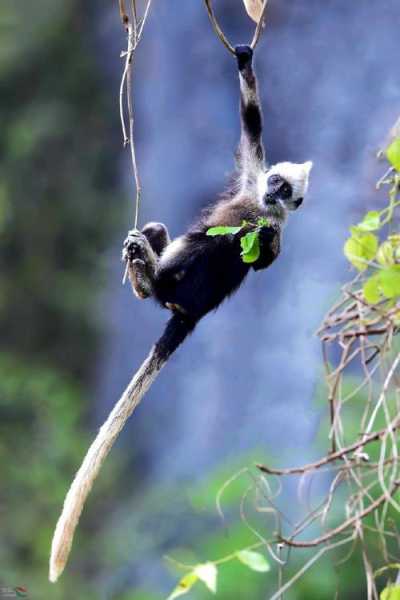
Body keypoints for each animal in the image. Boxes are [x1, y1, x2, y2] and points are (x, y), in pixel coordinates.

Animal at [49, 43, 312, 580]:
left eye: (285, 192)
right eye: (274, 181)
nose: (272, 194)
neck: (259, 206)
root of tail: (189, 313)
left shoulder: (272, 224)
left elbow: (265, 255)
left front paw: (265, 239)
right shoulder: (250, 176)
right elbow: (251, 126)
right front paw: (244, 62)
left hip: (189, 288)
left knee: (215, 248)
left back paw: (151, 274)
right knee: (167, 232)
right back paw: (141, 266)